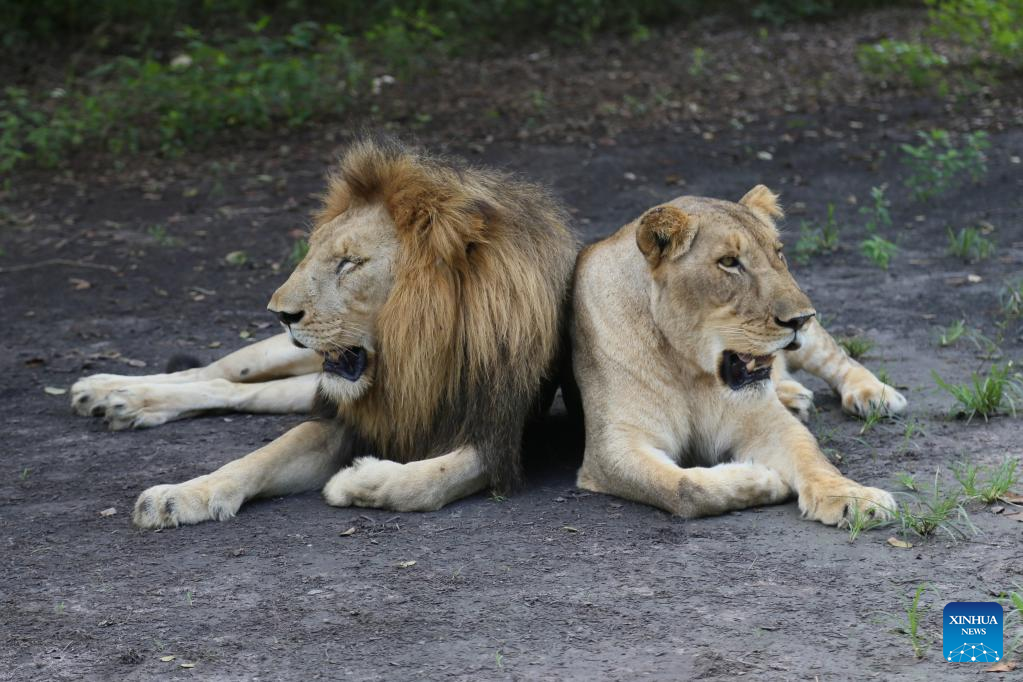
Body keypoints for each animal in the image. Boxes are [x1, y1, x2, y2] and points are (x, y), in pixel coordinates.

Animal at [81, 139, 576, 531]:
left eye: (349, 263)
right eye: (313, 253)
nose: (280, 313)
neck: (415, 359)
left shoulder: (498, 435)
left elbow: (428, 482)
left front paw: (359, 480)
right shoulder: (340, 420)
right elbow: (258, 457)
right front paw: (181, 495)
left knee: (242, 392)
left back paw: (124, 403)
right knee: (222, 373)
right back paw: (109, 391)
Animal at [572, 184, 908, 527]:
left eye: (779, 253)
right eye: (729, 261)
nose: (801, 318)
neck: (689, 368)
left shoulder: (765, 421)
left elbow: (813, 457)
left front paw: (854, 498)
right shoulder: (612, 449)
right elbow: (684, 488)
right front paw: (763, 478)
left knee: (838, 358)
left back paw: (874, 395)